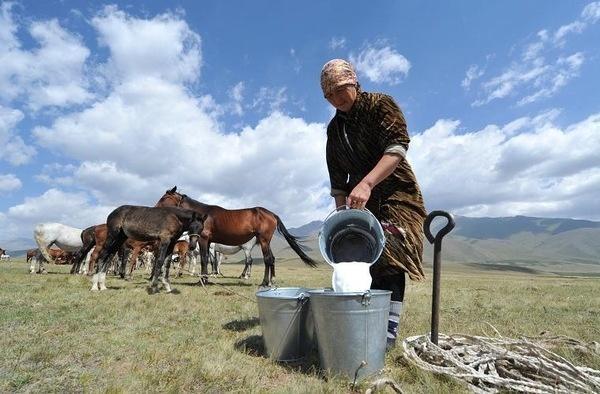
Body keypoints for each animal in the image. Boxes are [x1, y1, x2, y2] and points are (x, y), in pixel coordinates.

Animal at [155, 186, 316, 284]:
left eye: (164, 198)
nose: (154, 208)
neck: (203, 216)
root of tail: (272, 214)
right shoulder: (209, 242)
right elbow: (209, 260)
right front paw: (207, 278)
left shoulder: (204, 240)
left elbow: (205, 259)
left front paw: (203, 280)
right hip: (265, 241)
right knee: (271, 259)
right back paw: (271, 281)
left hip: (263, 240)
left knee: (267, 259)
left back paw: (264, 282)